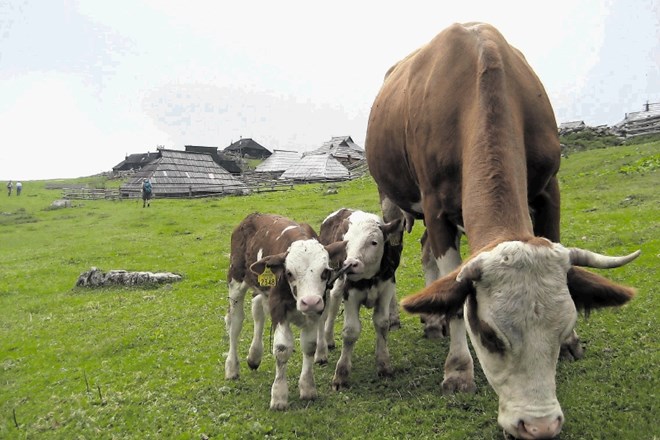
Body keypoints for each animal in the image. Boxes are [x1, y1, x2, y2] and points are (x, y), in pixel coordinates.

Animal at [224, 212, 346, 410]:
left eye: (325, 272)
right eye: (289, 273)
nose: (309, 301)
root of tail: (252, 216)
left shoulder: (316, 310)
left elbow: (310, 345)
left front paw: (307, 387)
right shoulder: (278, 307)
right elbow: (282, 348)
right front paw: (279, 395)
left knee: (257, 310)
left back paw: (254, 356)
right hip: (235, 279)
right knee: (235, 324)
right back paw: (232, 368)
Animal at [316, 209, 402, 388]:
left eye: (374, 242)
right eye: (346, 242)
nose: (350, 264)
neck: (369, 278)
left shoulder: (387, 287)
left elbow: (382, 323)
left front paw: (384, 365)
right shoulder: (350, 292)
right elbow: (350, 331)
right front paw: (341, 375)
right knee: (327, 311)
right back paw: (322, 350)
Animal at [366, 22, 640, 438]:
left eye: (565, 324)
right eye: (489, 335)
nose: (539, 426)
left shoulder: (549, 188)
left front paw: (572, 344)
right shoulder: (435, 204)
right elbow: (454, 293)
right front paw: (458, 369)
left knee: (426, 250)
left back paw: (432, 320)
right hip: (392, 201)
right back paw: (416, 318)